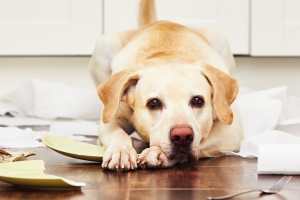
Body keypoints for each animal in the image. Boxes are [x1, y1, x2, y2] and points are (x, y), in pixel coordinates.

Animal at [89, 0, 244, 172]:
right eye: (154, 103)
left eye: (198, 101)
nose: (182, 136)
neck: (168, 55)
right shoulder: (111, 120)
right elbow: (117, 132)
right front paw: (121, 150)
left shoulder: (232, 130)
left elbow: (203, 139)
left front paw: (157, 152)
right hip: (103, 45)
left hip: (220, 38)